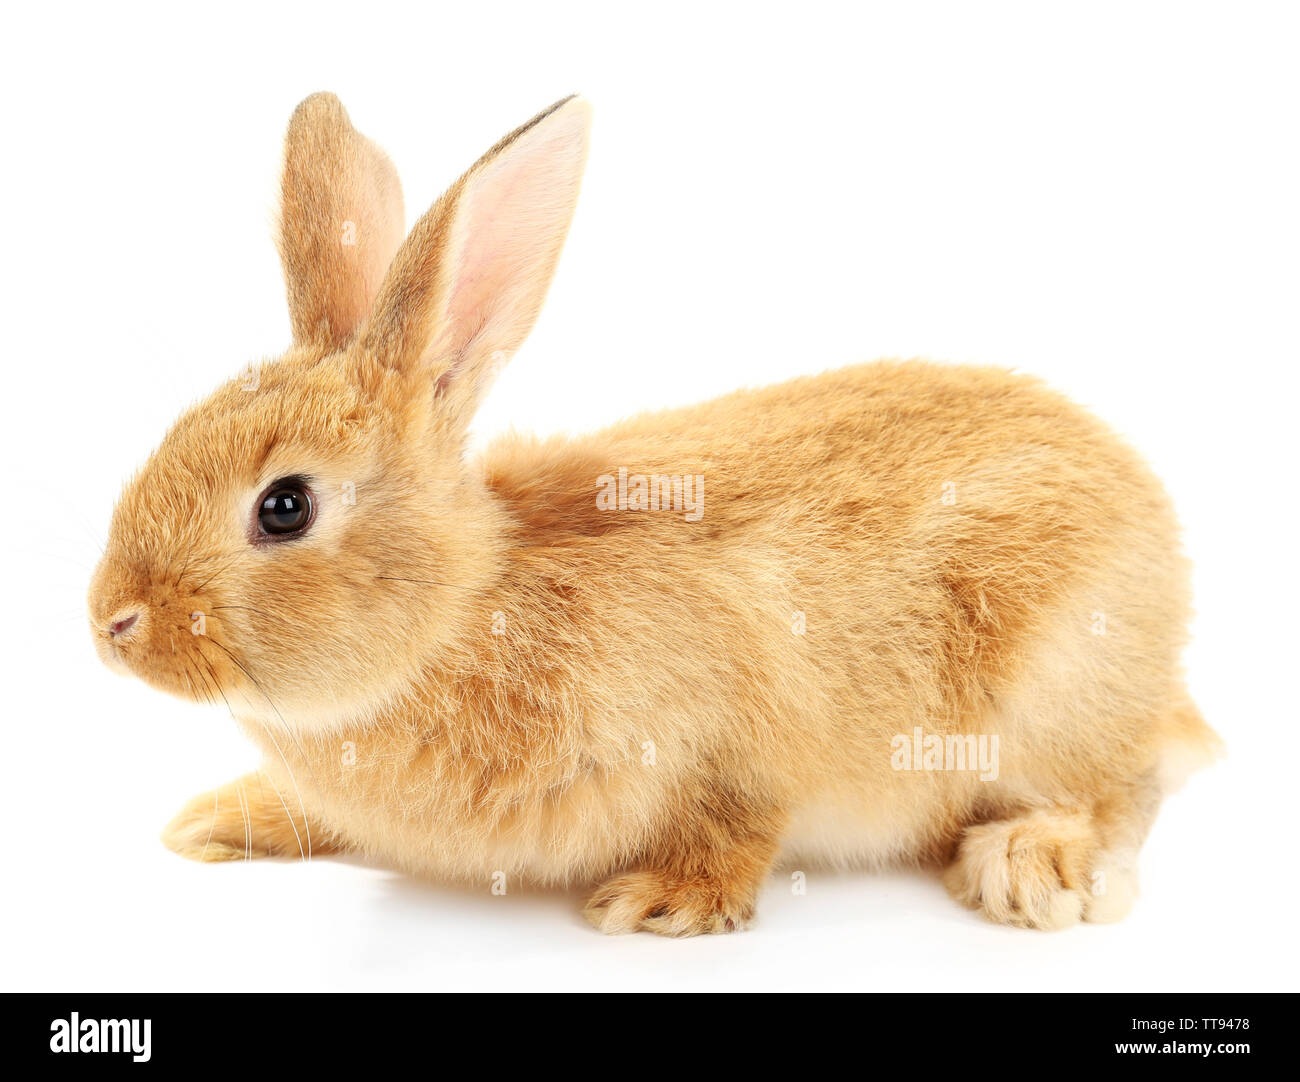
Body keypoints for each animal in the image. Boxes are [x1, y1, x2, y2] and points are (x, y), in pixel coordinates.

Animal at [88, 92, 1221, 936]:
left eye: (284, 507)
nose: (111, 623)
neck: (460, 614)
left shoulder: (741, 728)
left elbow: (739, 820)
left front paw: (660, 902)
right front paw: (222, 821)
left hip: (1055, 681)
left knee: (1118, 787)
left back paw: (1028, 866)